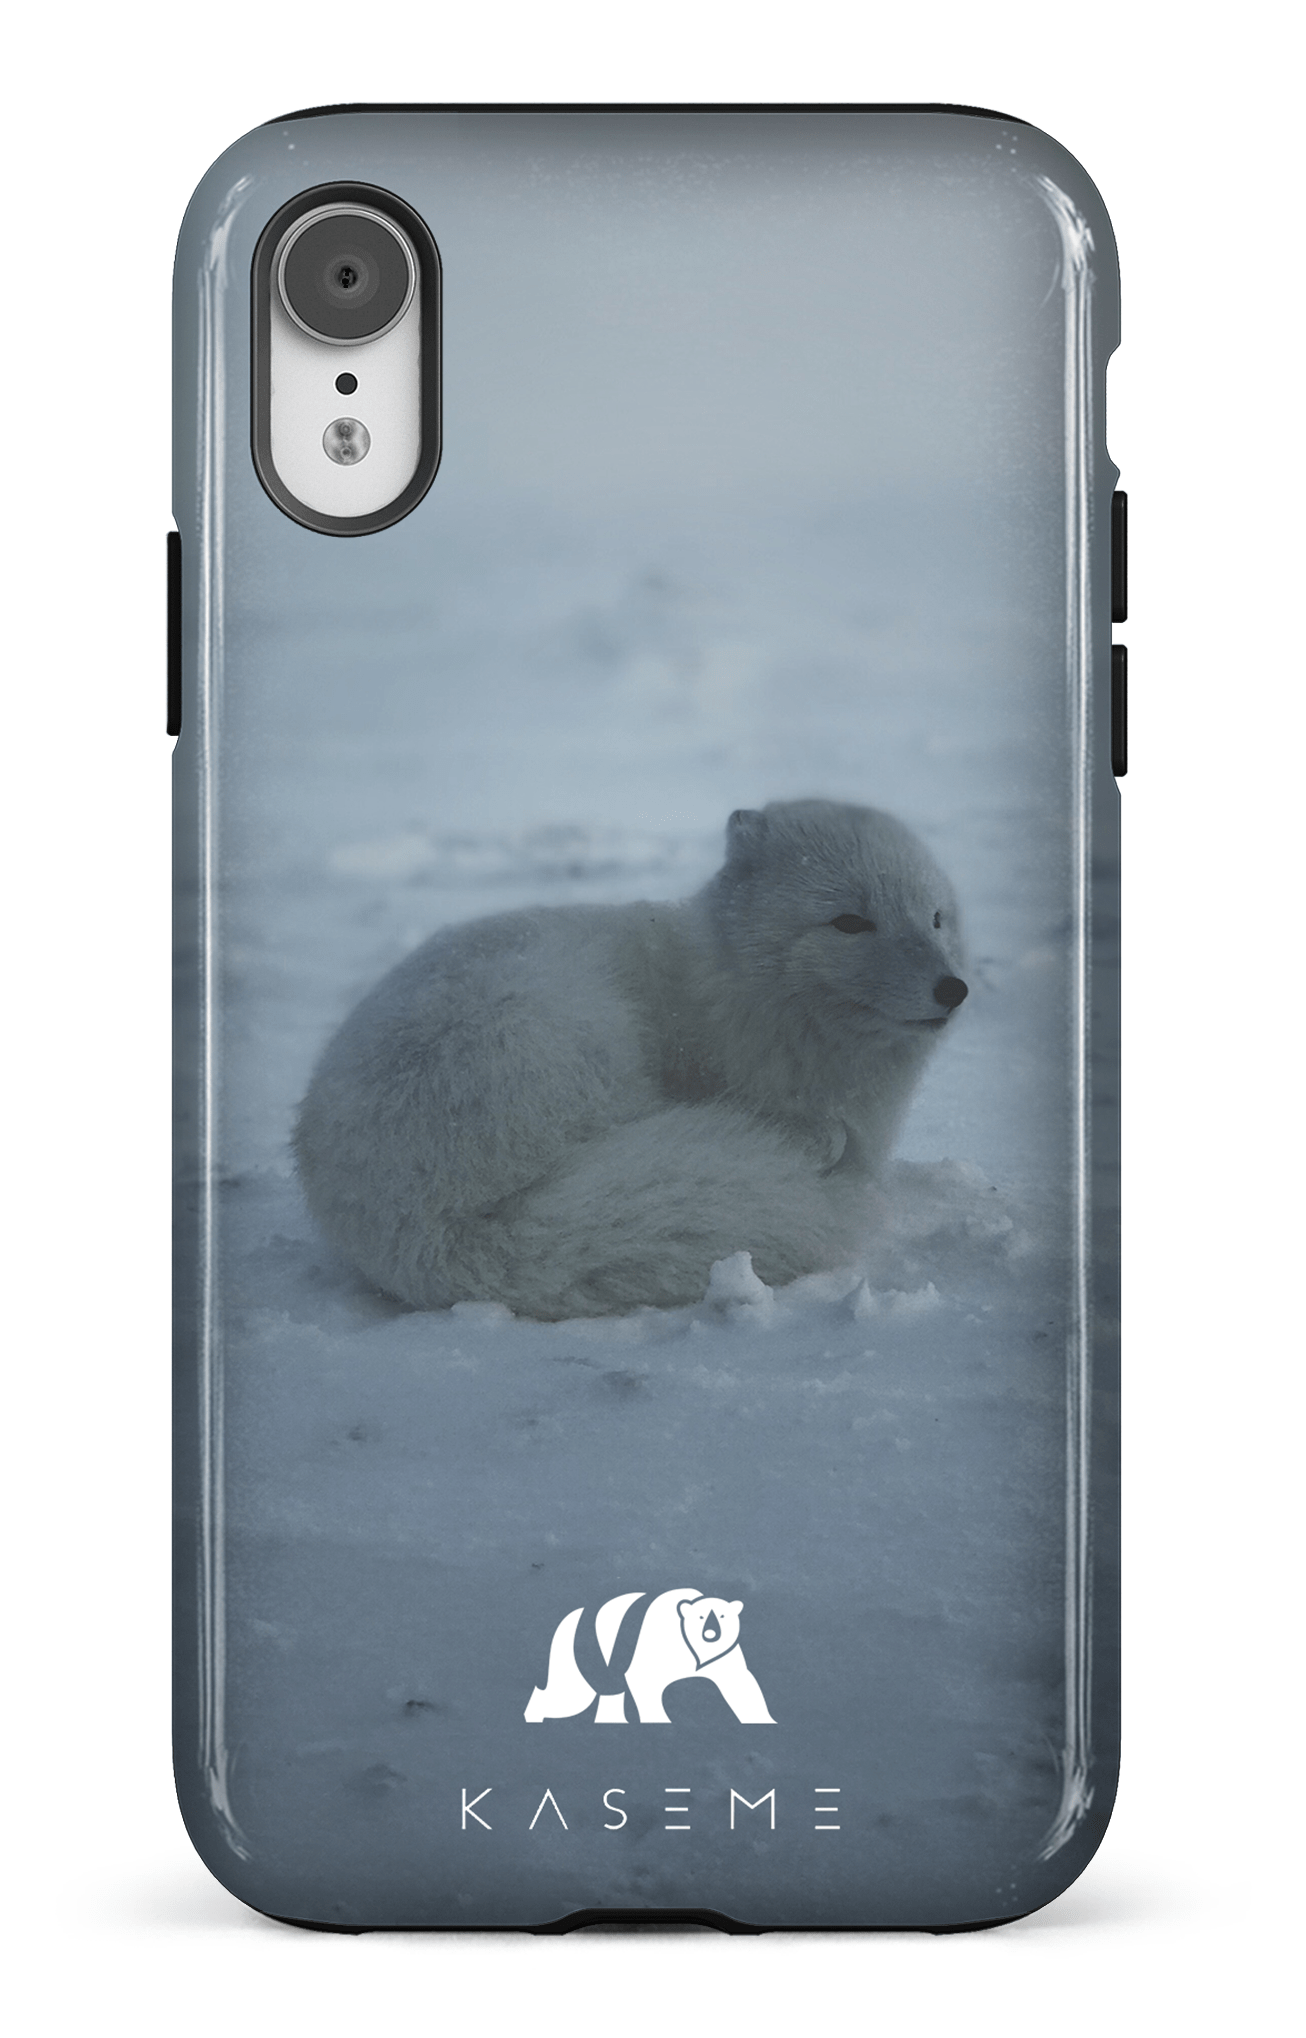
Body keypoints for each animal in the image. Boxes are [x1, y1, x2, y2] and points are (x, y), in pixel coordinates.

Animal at [294, 800, 968, 1319]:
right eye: (850, 922)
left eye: (935, 917)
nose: (953, 988)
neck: (732, 990)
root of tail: (430, 1231)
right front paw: (816, 1140)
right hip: (564, 1032)